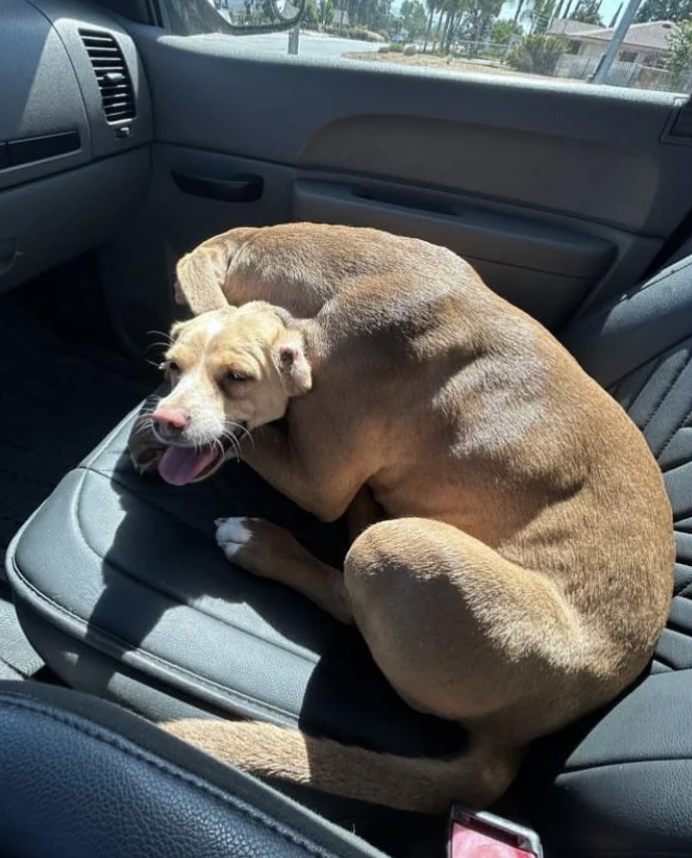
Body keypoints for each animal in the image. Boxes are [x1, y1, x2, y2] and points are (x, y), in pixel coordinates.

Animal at [127, 224, 672, 812]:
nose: (167, 422)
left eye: (237, 377)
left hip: (396, 549)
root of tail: (517, 738)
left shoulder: (316, 481)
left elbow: (259, 441)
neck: (346, 282)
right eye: (171, 366)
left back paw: (259, 542)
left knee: (344, 592)